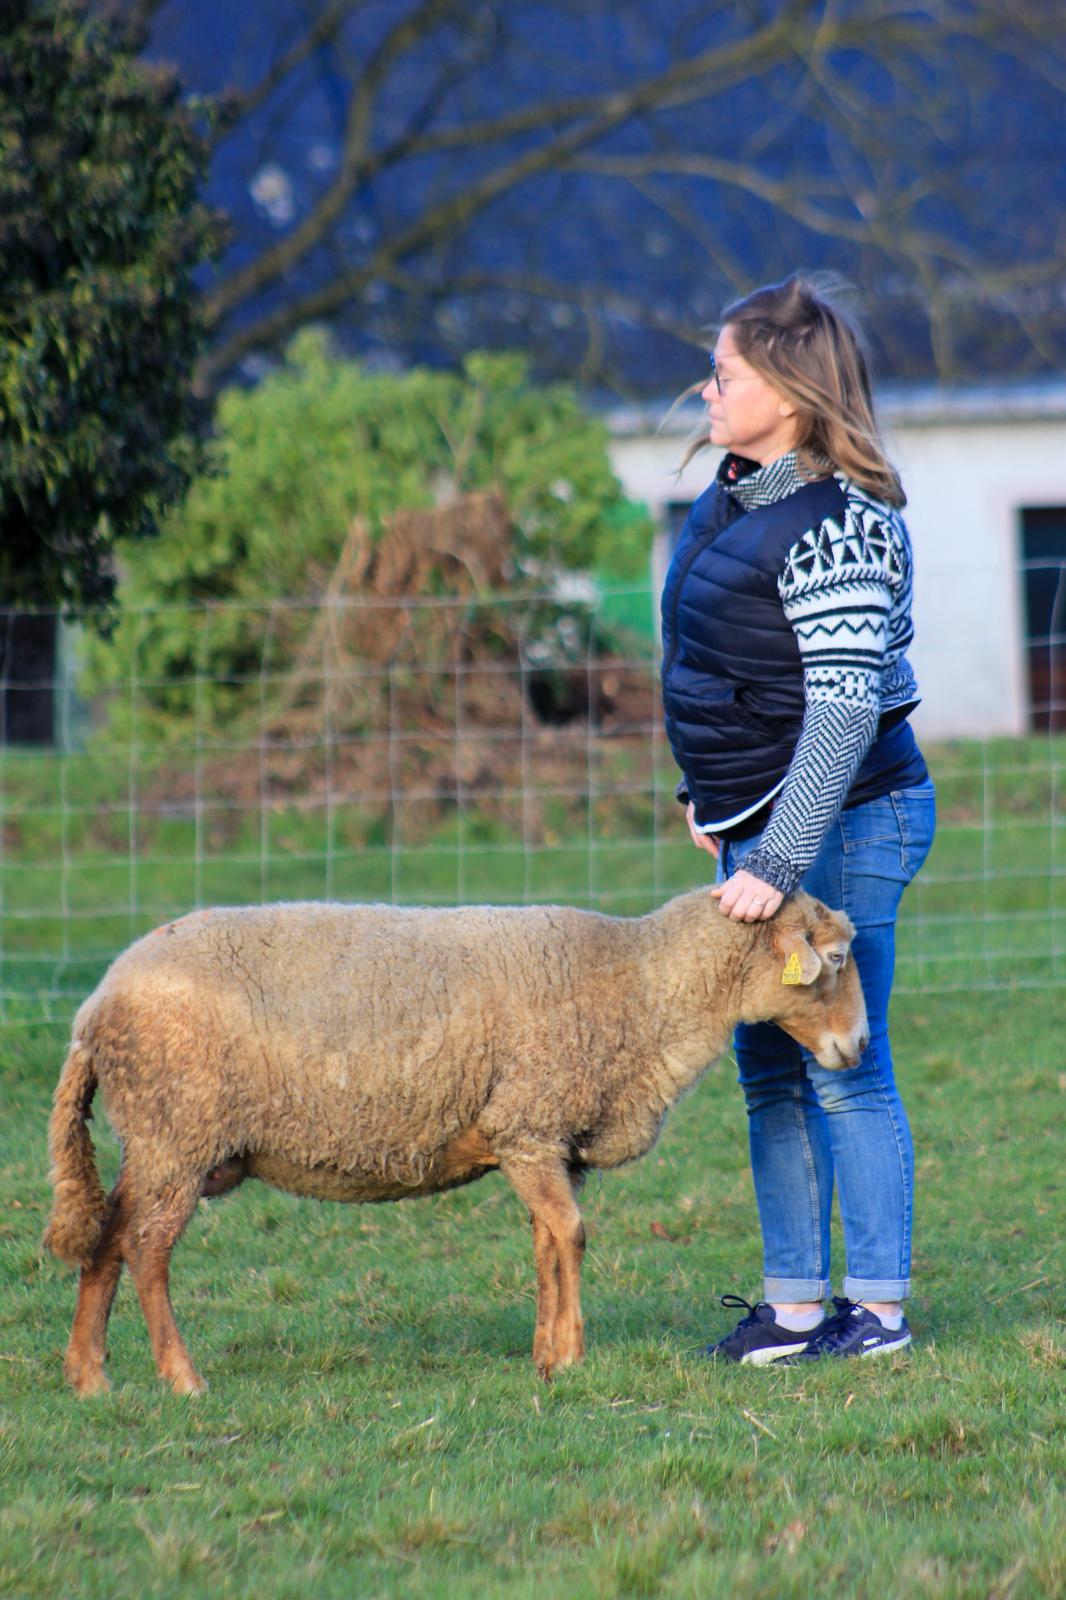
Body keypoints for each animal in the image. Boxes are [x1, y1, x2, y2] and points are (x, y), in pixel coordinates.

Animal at [44, 888, 866, 1395]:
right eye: (831, 961)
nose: (857, 1046)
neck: (641, 987)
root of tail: (92, 1010)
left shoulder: (543, 1141)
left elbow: (545, 1242)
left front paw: (543, 1354)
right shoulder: (528, 1122)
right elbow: (572, 1235)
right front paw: (571, 1356)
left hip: (154, 1136)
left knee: (108, 1236)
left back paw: (90, 1377)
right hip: (178, 1129)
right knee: (147, 1248)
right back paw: (182, 1378)